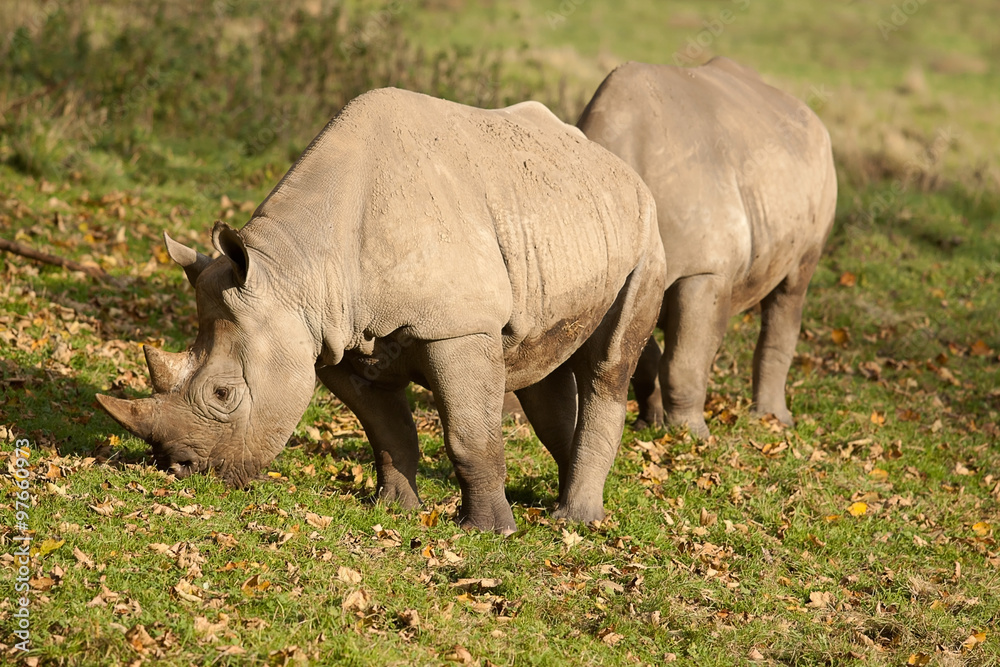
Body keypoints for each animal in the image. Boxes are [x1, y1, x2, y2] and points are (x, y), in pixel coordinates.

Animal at [97, 88, 665, 533]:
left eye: (222, 394)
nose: (178, 468)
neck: (295, 270)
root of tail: (617, 164)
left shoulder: (456, 327)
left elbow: (467, 433)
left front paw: (488, 532)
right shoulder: (332, 339)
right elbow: (386, 430)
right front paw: (395, 510)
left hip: (647, 230)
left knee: (608, 365)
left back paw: (576, 519)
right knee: (540, 365)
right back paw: (560, 498)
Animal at [577, 58, 837, 436]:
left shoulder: (704, 270)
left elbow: (683, 360)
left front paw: (688, 433)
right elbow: (641, 352)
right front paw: (650, 424)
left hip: (818, 170)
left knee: (792, 287)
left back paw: (773, 420)